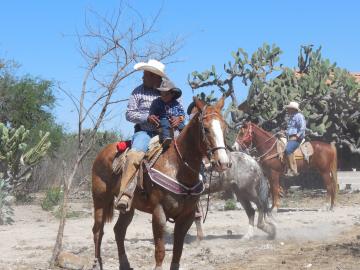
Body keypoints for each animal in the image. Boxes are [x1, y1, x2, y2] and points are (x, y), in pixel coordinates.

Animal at [91, 97, 229, 270]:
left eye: (224, 127)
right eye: (205, 128)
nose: (223, 162)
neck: (178, 168)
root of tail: (101, 153)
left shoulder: (187, 216)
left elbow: (178, 251)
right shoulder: (159, 213)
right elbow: (160, 250)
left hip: (129, 207)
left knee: (119, 230)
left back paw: (125, 264)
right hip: (100, 201)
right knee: (98, 231)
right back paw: (96, 264)